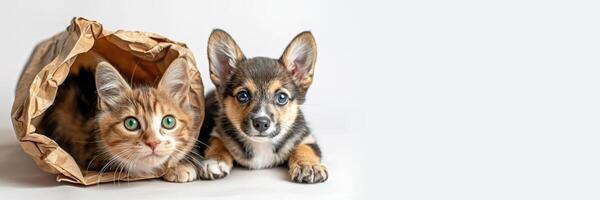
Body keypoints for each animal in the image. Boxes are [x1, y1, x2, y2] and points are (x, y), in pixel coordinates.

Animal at [197, 28, 328, 184]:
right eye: (243, 95)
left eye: (282, 97)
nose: (261, 123)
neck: (262, 144)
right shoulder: (217, 133)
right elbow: (217, 144)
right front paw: (215, 160)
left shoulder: (305, 138)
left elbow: (304, 149)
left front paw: (308, 165)